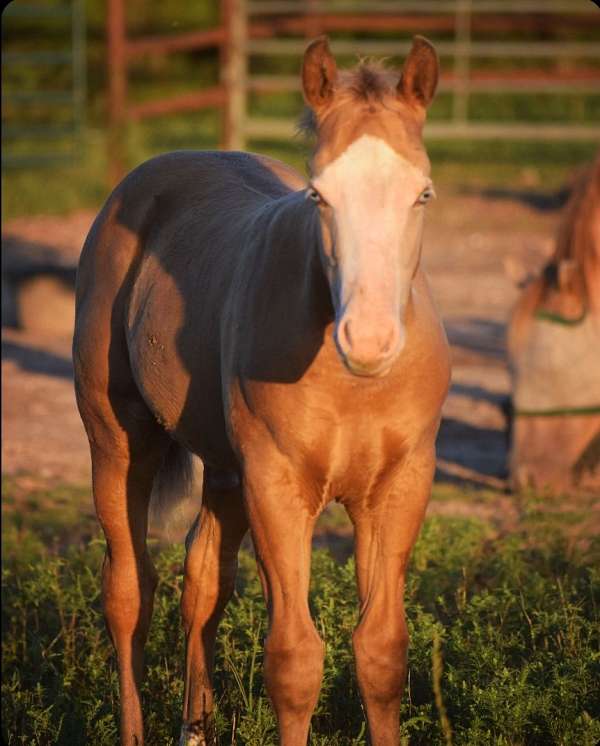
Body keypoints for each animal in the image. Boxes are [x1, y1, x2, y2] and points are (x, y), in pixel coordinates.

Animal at [72, 35, 450, 744]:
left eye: (423, 193)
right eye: (319, 195)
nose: (369, 339)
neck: (350, 383)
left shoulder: (400, 487)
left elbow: (382, 652)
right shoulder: (277, 486)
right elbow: (295, 661)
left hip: (224, 468)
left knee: (202, 583)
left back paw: (194, 726)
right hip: (118, 441)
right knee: (130, 589)